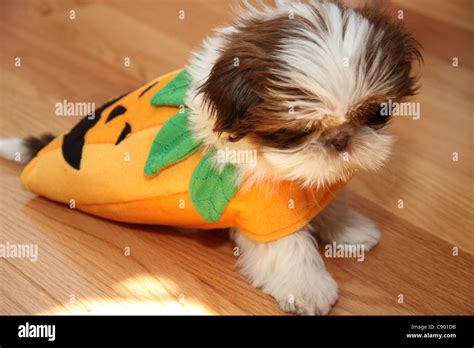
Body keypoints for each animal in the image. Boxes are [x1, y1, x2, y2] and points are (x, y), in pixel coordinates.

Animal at [0, 0, 422, 316]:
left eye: (375, 113)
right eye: (294, 132)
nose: (340, 141)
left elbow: (324, 200)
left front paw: (346, 228)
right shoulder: (260, 205)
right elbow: (286, 248)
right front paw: (308, 288)